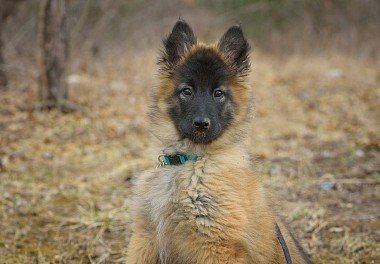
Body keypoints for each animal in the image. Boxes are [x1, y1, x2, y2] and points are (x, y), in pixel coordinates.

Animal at [126, 19, 310, 262]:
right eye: (187, 91)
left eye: (218, 93)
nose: (201, 124)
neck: (189, 161)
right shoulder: (145, 236)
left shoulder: (216, 246)